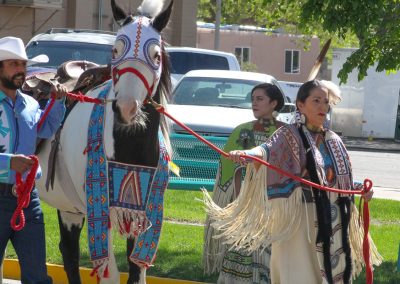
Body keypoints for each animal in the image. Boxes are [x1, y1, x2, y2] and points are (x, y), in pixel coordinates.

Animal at [37, 1, 173, 282]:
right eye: (115, 50)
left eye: (156, 56)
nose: (126, 108)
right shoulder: (100, 211)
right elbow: (110, 272)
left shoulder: (140, 212)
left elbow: (136, 270)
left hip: (69, 208)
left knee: (69, 253)